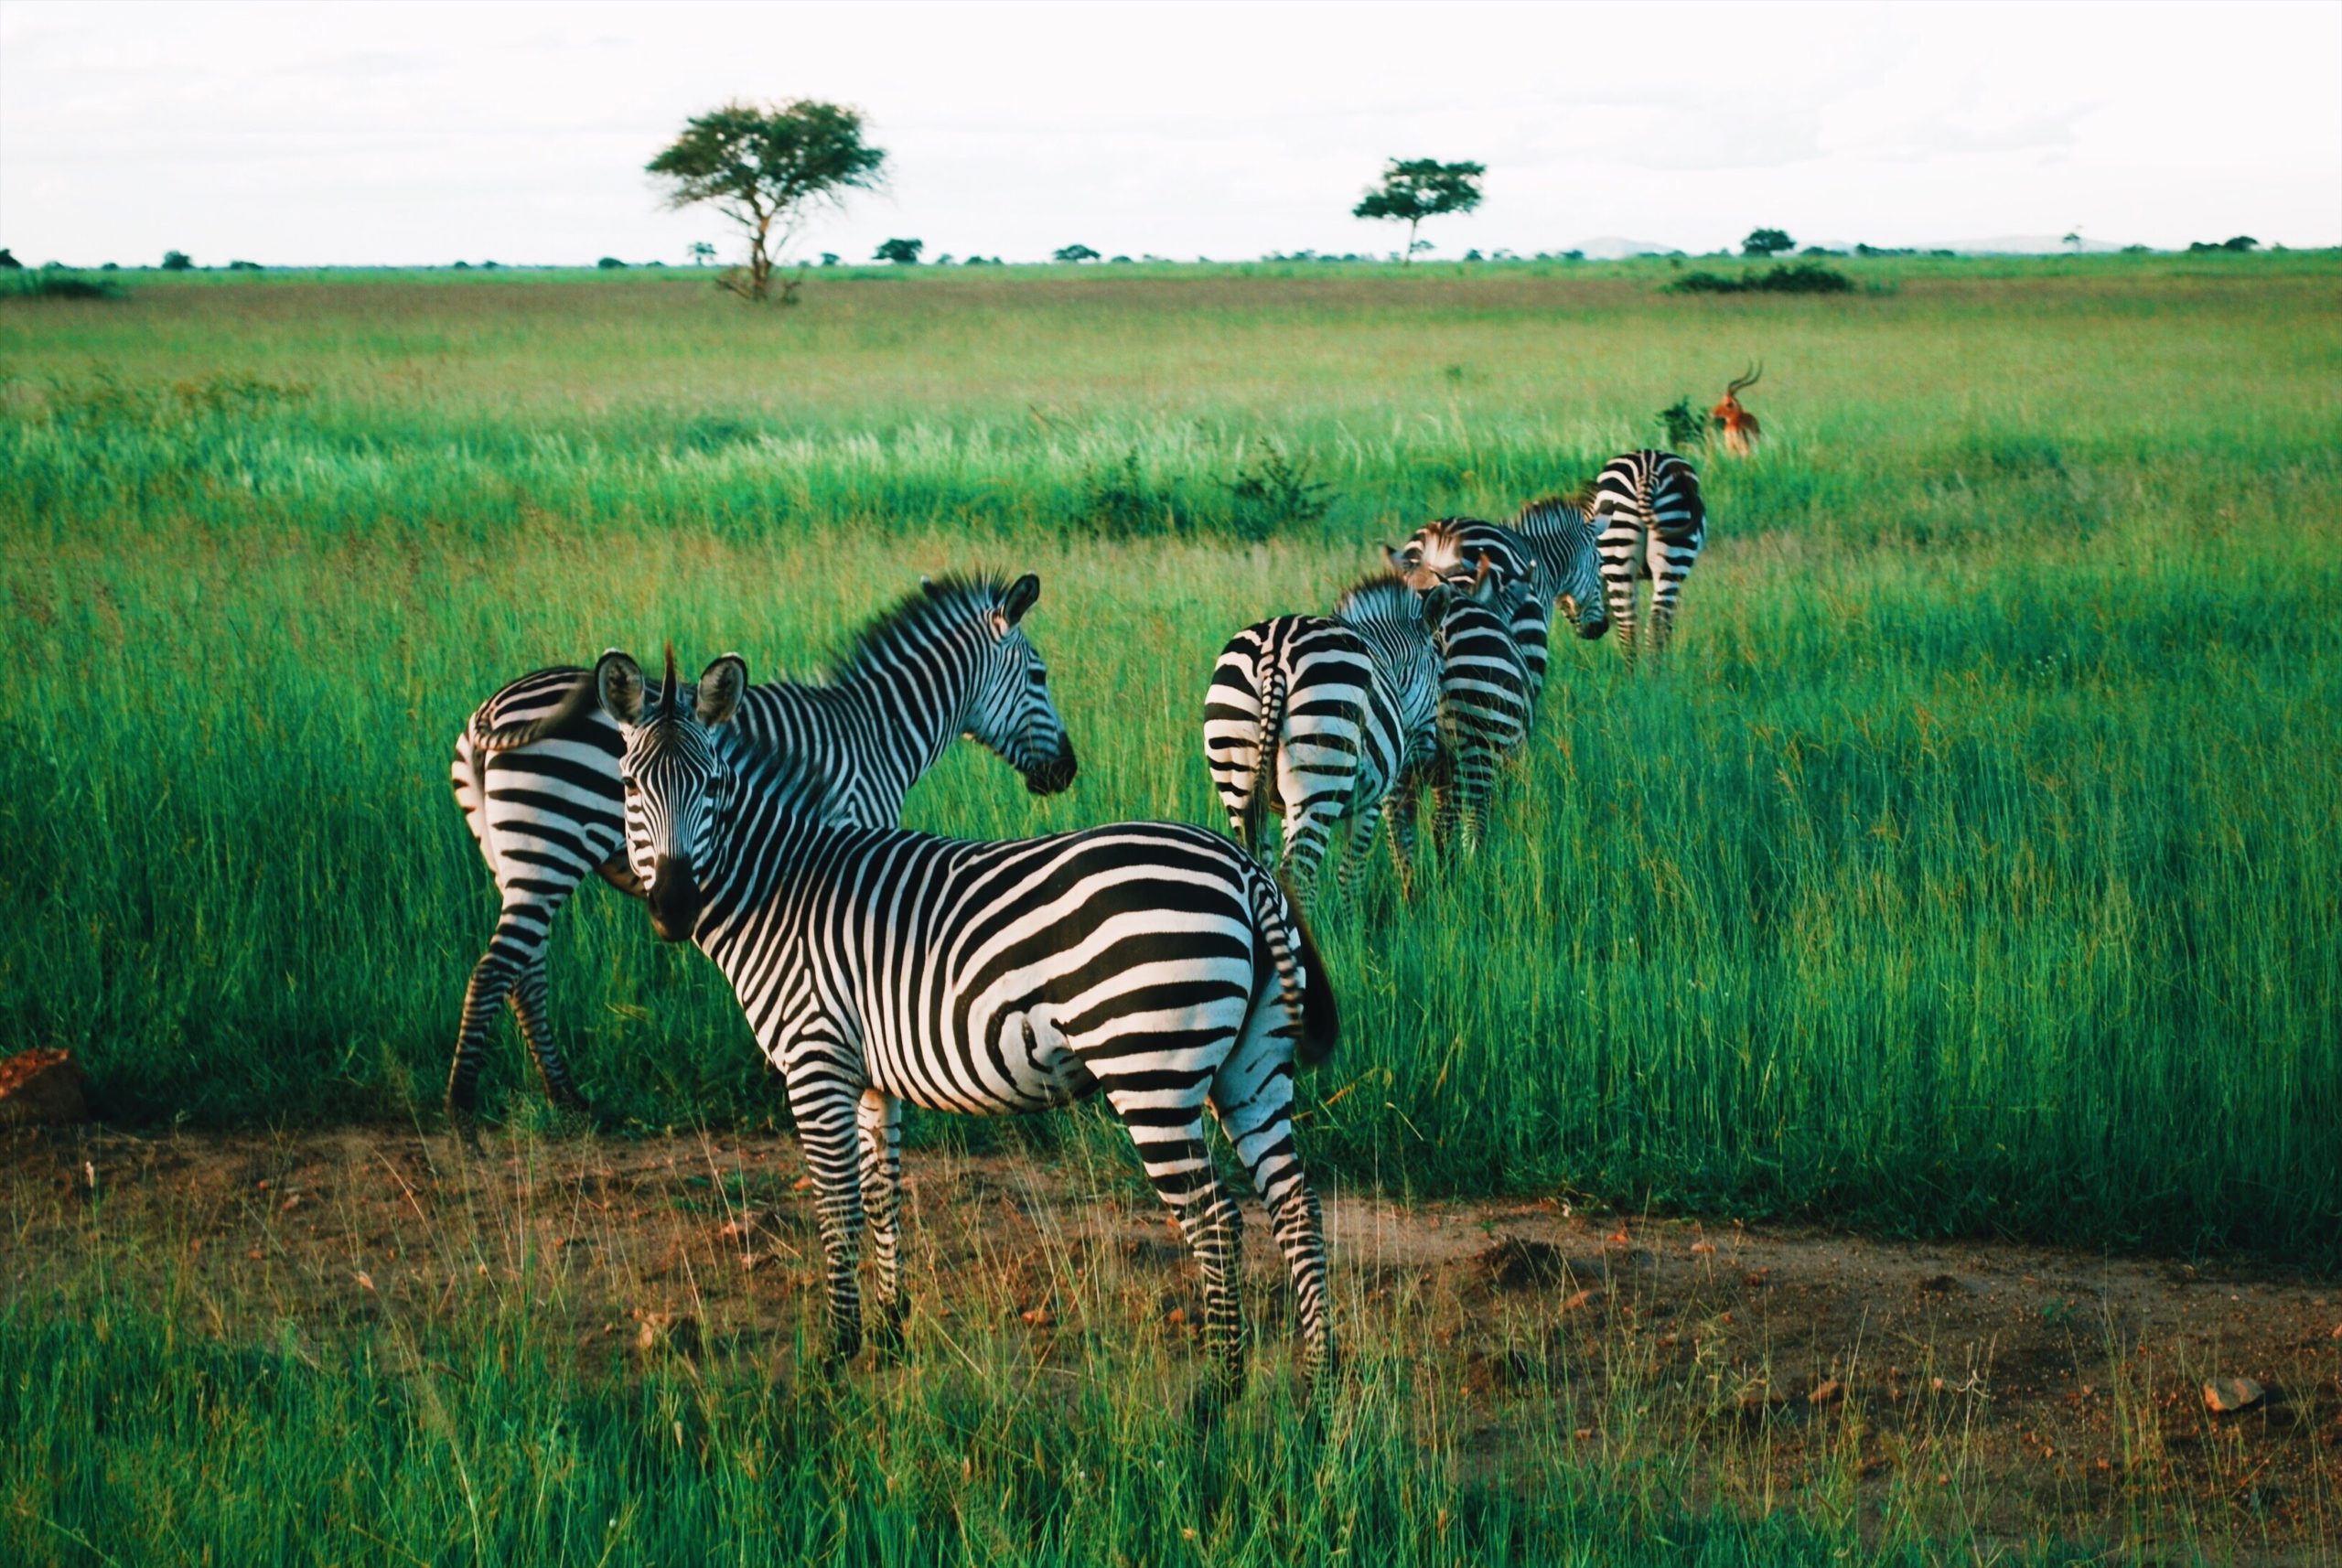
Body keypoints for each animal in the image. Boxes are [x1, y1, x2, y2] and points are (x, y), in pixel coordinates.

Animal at [444, 574, 1076, 1120]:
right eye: (1040, 676)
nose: (1066, 772)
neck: (875, 732)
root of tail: (488, 712)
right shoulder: (848, 847)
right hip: (549, 846)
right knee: (497, 969)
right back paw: (467, 1101)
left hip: (514, 859)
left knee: (524, 970)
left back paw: (564, 1095)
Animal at [596, 646, 1340, 1400]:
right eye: (628, 785)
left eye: (713, 785)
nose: (673, 908)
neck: (776, 887)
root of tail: (1245, 870)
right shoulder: (871, 1078)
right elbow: (883, 1194)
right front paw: (888, 1334)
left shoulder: (816, 1061)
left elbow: (838, 1206)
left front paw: (837, 1351)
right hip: (1252, 1067)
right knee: (1296, 1208)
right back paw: (1318, 1384)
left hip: (1151, 1071)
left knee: (1218, 1222)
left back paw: (1219, 1392)